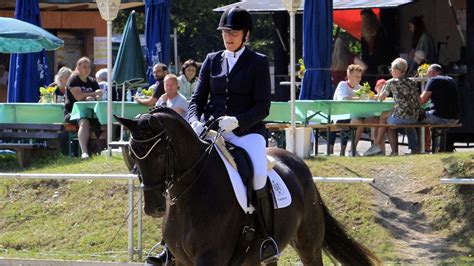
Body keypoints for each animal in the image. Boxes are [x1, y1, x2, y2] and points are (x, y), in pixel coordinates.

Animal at [116, 106, 380, 266]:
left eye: (159, 153)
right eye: (133, 153)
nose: (154, 208)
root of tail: (298, 163)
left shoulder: (209, 258)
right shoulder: (181, 259)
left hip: (308, 245)